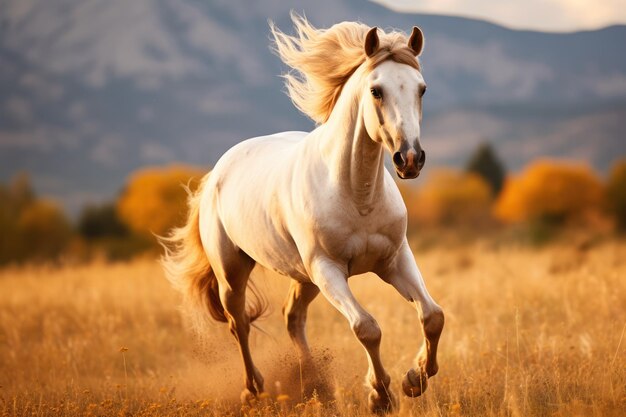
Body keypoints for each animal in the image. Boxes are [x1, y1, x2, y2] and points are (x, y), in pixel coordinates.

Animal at [161, 13, 444, 412]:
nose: (410, 159)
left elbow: (432, 316)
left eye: (421, 89)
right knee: (239, 323)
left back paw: (315, 386)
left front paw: (415, 379)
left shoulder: (394, 259)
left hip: (303, 277)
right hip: (234, 272)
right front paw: (381, 395)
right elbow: (367, 328)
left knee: (292, 318)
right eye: (376, 91)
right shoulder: (329, 270)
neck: (356, 195)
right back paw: (255, 390)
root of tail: (216, 172)